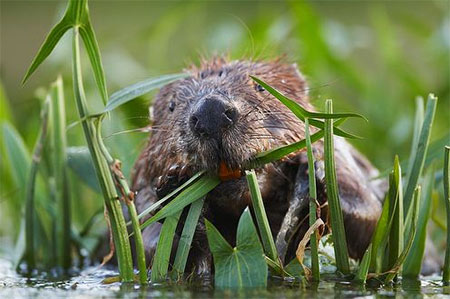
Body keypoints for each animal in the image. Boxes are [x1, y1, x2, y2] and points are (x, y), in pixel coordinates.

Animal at [131, 57, 386, 278]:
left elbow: (366, 212)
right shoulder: (142, 192)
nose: (210, 111)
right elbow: (149, 245)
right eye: (172, 106)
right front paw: (177, 195)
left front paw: (312, 174)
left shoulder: (345, 162)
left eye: (260, 87)